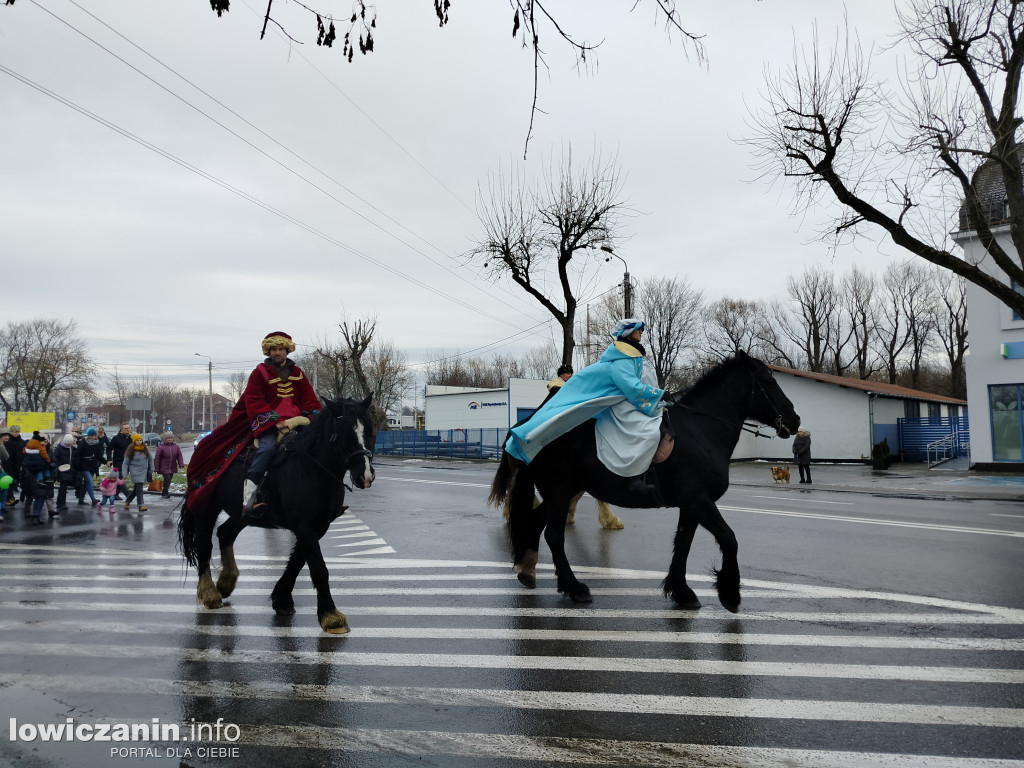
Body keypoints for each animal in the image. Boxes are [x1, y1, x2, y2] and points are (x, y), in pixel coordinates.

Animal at [179, 399, 376, 634]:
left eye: (370, 430)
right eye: (344, 431)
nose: (365, 475)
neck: (312, 468)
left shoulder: (317, 527)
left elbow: (297, 561)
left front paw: (281, 598)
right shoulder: (305, 527)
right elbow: (319, 569)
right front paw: (331, 616)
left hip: (244, 514)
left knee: (225, 533)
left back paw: (226, 582)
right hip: (207, 508)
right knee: (204, 545)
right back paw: (209, 593)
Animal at [487, 354, 798, 614]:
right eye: (769, 381)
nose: (795, 420)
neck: (700, 430)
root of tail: (524, 427)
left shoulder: (691, 504)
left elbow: (683, 543)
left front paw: (681, 591)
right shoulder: (699, 500)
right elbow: (729, 539)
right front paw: (729, 594)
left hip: (559, 494)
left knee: (535, 523)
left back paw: (529, 571)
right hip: (560, 492)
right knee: (553, 535)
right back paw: (574, 587)